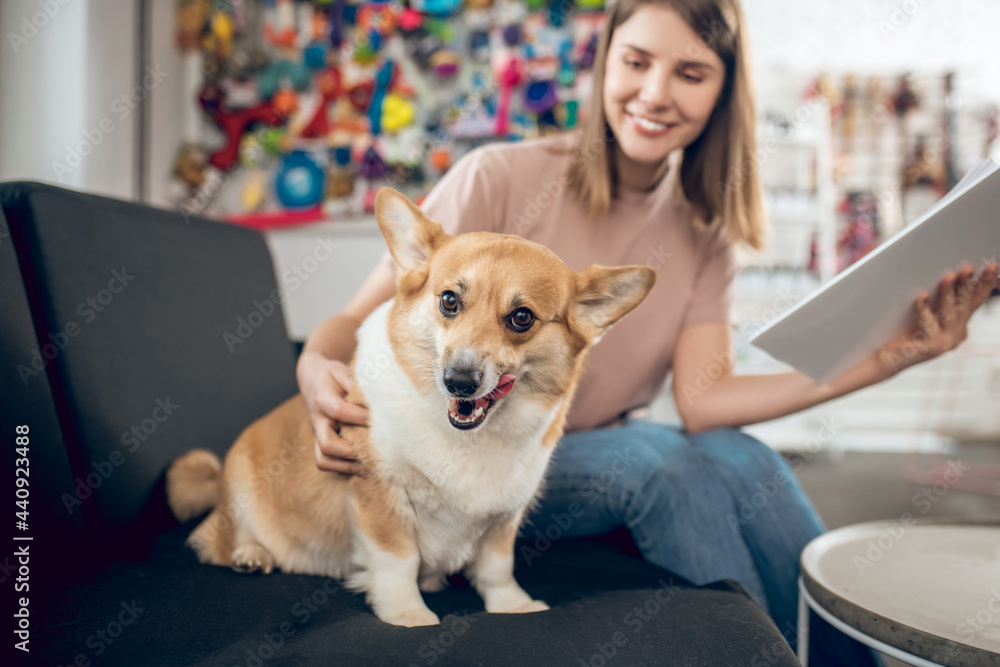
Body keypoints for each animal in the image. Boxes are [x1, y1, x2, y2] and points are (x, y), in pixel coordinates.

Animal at [166, 187, 656, 628]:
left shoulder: (504, 517)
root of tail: (219, 480)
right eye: (449, 300)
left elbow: (497, 568)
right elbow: (398, 563)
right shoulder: (380, 497)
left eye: (522, 318)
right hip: (239, 500)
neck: (473, 439)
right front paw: (408, 615)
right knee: (213, 540)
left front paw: (512, 606)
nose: (458, 381)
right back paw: (250, 554)